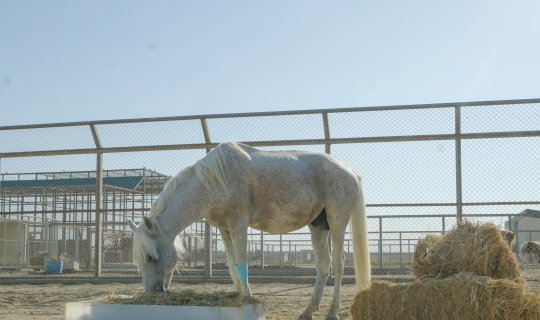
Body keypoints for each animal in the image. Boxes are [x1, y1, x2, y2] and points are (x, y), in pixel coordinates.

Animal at [129, 142, 372, 320]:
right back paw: (308, 311)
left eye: (151, 255)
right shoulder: (225, 228)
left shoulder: (239, 224)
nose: (151, 292)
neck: (213, 181)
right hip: (318, 226)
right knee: (323, 265)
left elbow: (240, 263)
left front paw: (247, 298)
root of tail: (350, 171)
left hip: (337, 222)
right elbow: (230, 265)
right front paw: (239, 295)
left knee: (339, 265)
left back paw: (332, 312)